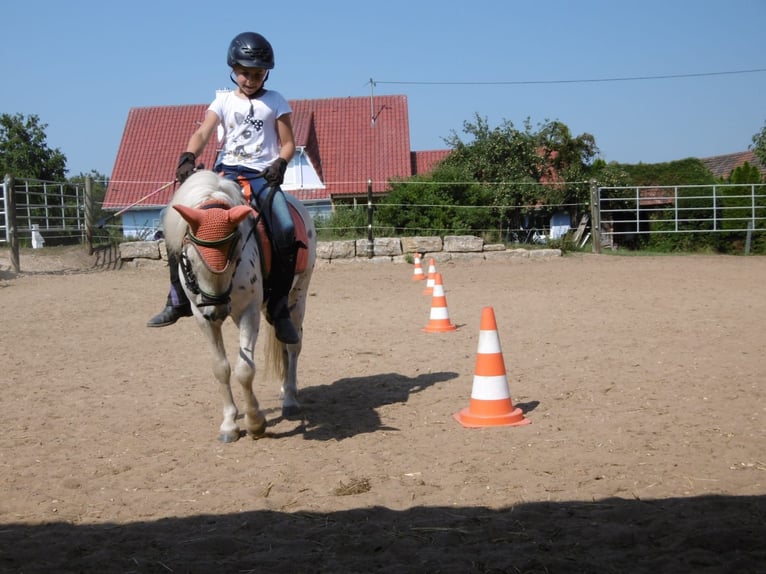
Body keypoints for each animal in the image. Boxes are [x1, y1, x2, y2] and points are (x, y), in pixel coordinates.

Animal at [162, 169, 318, 444]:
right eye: (189, 258)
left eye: (235, 253)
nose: (216, 311)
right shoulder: (201, 317)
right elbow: (221, 368)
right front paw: (229, 425)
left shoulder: (249, 312)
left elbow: (244, 369)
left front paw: (255, 423)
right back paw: (283, 391)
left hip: (298, 296)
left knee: (293, 346)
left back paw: (290, 398)